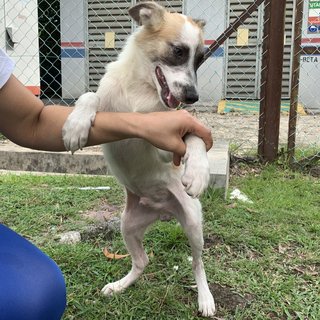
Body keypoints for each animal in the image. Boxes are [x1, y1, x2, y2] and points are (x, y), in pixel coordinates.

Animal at [62, 1, 215, 318]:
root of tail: (162, 211)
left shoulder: (168, 139)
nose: (192, 97)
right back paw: (119, 286)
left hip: (193, 222)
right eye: (178, 51)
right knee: (142, 261)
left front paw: (198, 171)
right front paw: (76, 125)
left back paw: (205, 298)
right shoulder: (110, 117)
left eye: (200, 59)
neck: (141, 91)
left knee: (197, 262)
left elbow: (192, 136)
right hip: (128, 225)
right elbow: (89, 95)